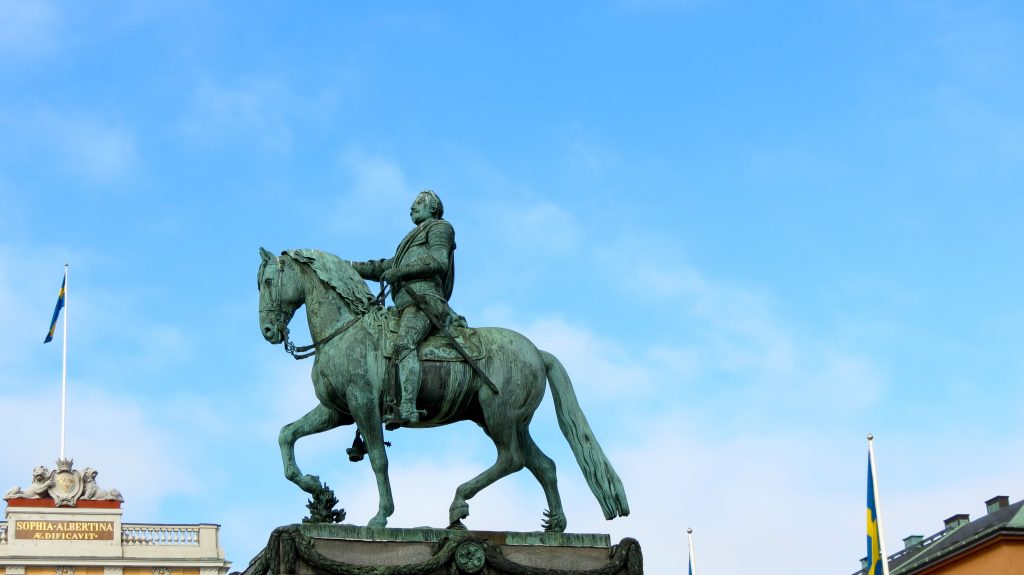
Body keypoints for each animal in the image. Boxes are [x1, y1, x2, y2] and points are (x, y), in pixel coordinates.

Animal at [256, 246, 626, 527]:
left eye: (269, 281)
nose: (268, 331)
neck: (346, 330)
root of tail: (537, 352)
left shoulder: (362, 405)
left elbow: (378, 459)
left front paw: (381, 516)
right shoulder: (337, 411)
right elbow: (287, 434)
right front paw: (312, 485)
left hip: (499, 415)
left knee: (512, 459)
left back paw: (458, 503)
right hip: (506, 421)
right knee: (543, 465)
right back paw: (555, 527)